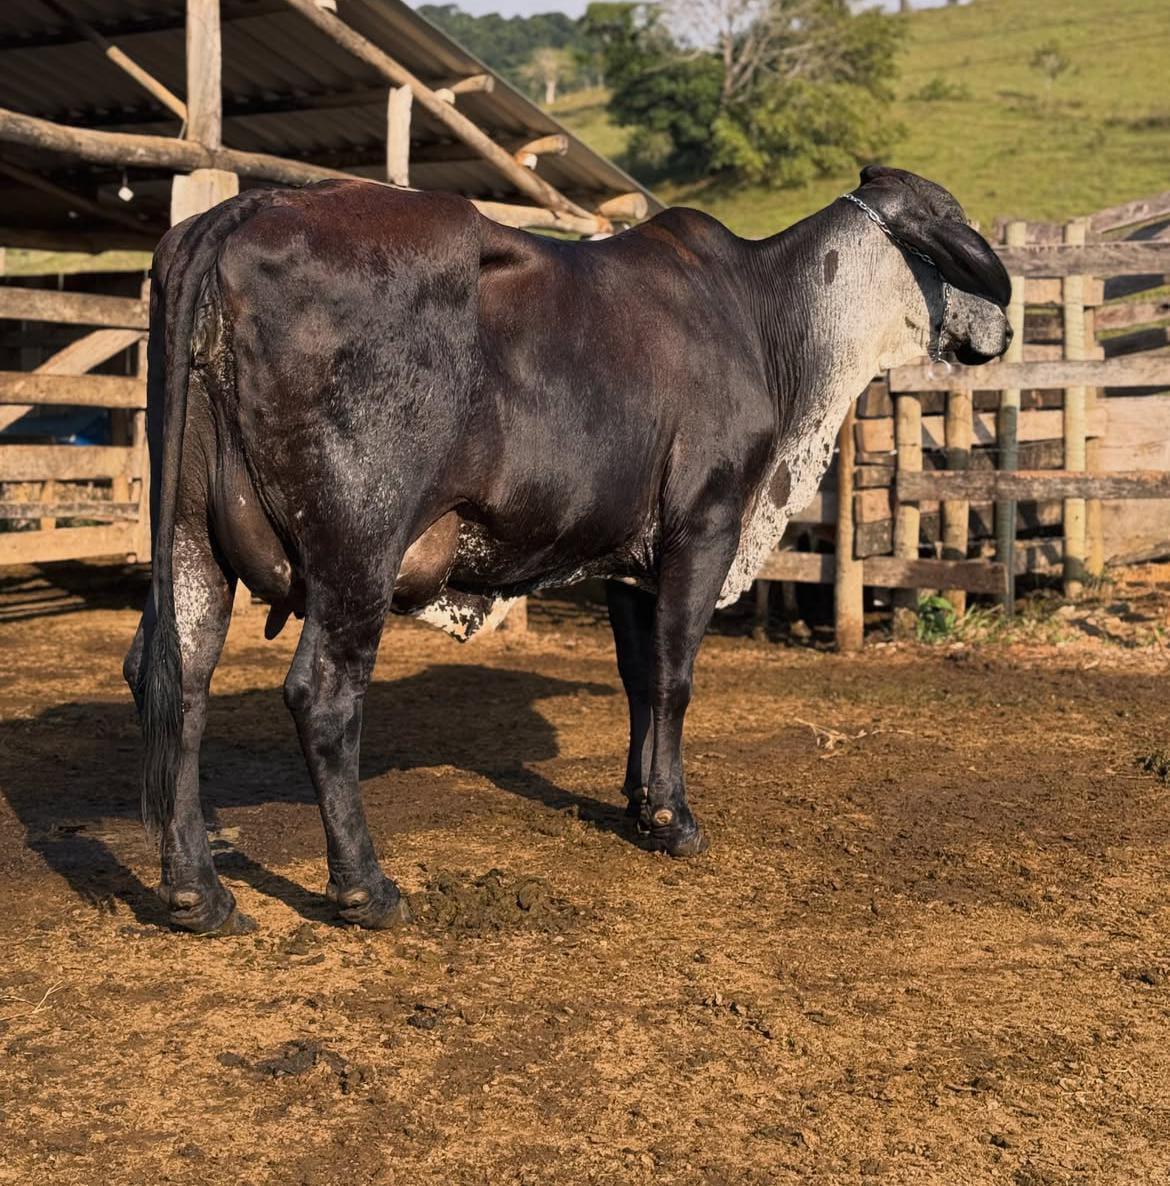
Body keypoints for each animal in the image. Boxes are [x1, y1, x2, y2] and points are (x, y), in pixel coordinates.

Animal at [123, 165, 1011, 935]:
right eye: (951, 214)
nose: (1003, 325)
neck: (765, 315)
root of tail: (251, 206)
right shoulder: (704, 525)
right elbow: (677, 679)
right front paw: (674, 819)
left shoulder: (629, 562)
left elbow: (641, 681)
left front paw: (637, 800)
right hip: (359, 550)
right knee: (322, 696)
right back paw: (365, 888)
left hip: (190, 538)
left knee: (176, 679)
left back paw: (196, 892)